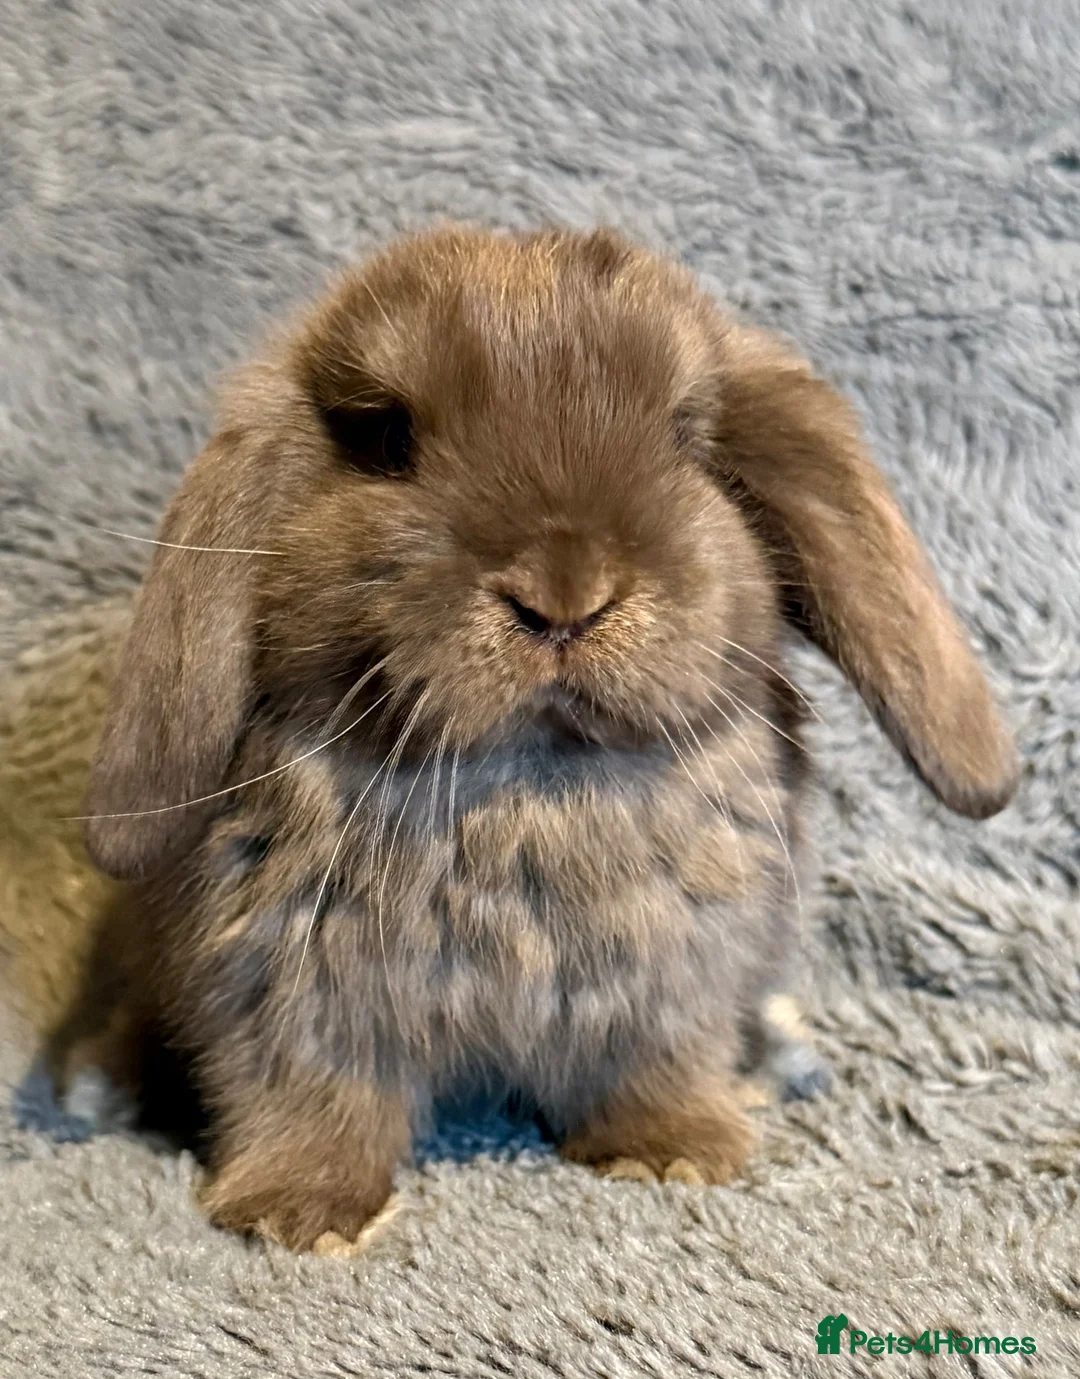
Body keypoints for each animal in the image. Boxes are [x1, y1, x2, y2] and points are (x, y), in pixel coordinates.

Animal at [78, 225, 1018, 1253]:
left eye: (687, 435)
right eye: (386, 437)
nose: (566, 592)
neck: (527, 783)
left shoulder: (671, 987)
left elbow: (659, 1066)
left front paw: (677, 1152)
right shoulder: (285, 991)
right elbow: (312, 1097)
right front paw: (299, 1214)